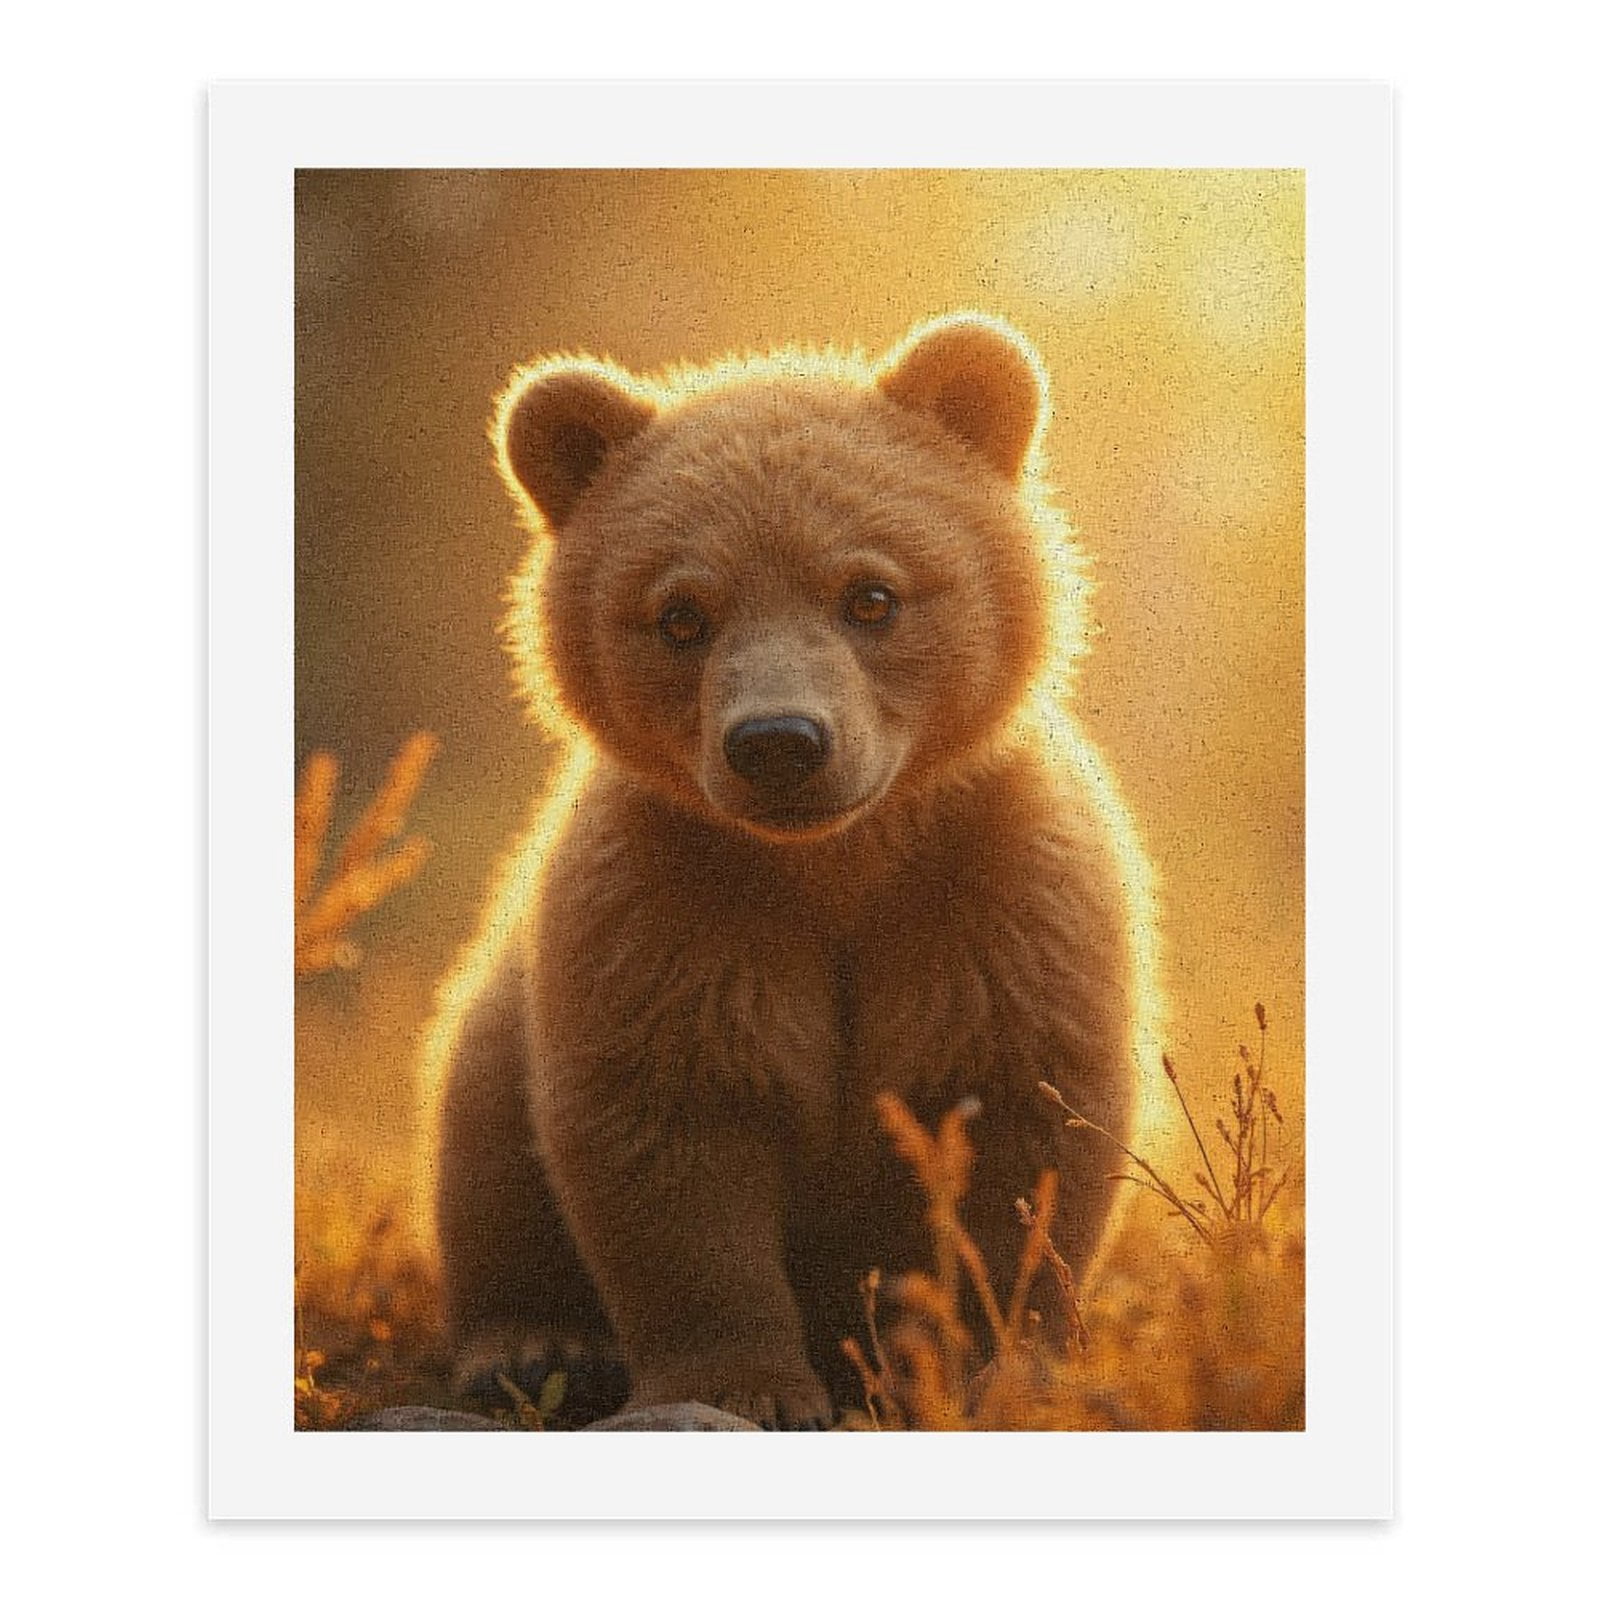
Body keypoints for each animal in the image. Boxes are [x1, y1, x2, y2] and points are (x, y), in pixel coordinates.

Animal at [430, 314, 1162, 1429]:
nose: (779, 742)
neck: (832, 867)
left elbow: (1020, 1139)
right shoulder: (674, 907)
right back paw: (536, 1341)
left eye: (871, 594)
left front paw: (984, 1369)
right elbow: (672, 1146)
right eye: (681, 614)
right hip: (501, 1014)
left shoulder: (995, 897)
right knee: (482, 1139)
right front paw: (753, 1386)